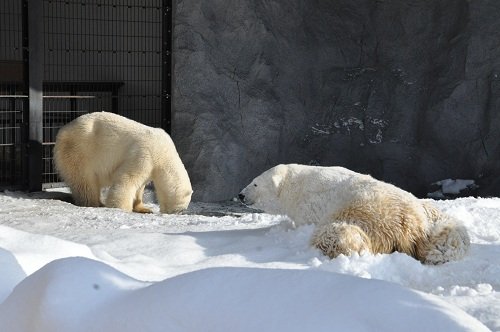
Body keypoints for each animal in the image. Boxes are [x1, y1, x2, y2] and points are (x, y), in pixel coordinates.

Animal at [53, 111, 192, 214]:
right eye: (181, 208)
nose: (177, 212)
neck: (165, 154)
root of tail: (62, 131)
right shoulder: (145, 153)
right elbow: (128, 178)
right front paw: (121, 208)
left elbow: (140, 185)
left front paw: (144, 208)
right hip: (80, 150)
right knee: (85, 181)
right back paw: (95, 203)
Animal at [240, 164, 470, 264]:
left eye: (255, 183)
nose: (241, 195)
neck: (294, 183)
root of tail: (416, 223)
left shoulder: (308, 204)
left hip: (369, 212)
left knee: (334, 233)